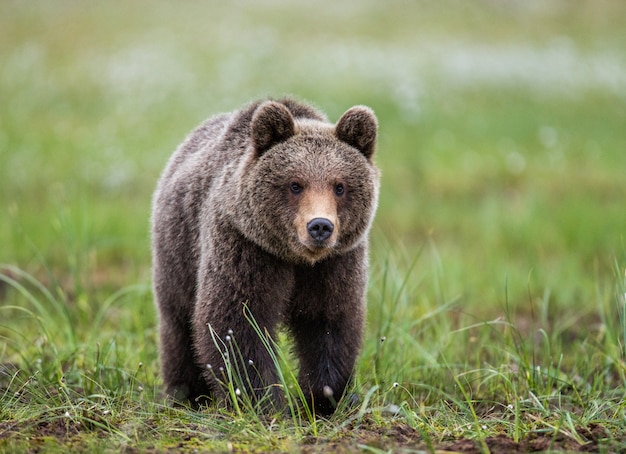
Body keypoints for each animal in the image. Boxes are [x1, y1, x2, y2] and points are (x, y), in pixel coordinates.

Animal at [152, 96, 376, 414]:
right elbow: (237, 322)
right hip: (177, 253)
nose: (320, 226)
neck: (296, 258)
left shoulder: (335, 263)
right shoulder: (246, 248)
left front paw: (323, 397)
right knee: (178, 325)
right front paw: (260, 400)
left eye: (340, 186)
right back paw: (186, 394)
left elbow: (329, 322)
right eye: (295, 184)